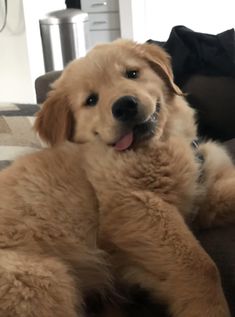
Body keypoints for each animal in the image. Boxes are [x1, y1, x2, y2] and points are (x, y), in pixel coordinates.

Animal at [0, 40, 234, 316]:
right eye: (91, 100)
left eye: (132, 73)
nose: (124, 106)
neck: (156, 145)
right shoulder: (136, 207)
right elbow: (200, 266)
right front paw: (209, 308)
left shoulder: (201, 197)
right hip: (39, 278)